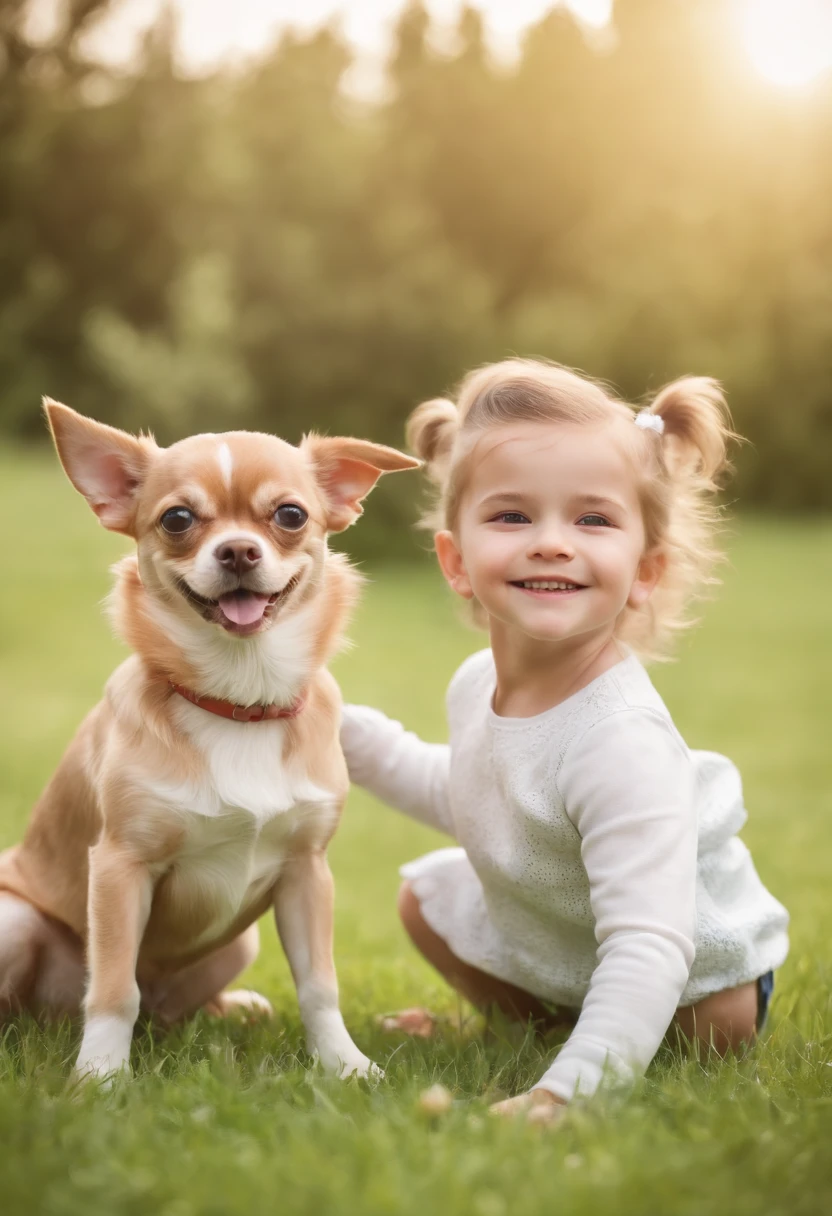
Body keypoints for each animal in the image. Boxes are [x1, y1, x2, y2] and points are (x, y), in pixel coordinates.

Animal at [0, 406, 416, 1084]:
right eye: (177, 520)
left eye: (290, 515)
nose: (239, 550)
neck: (239, 701)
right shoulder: (119, 868)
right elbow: (113, 989)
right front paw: (101, 1077)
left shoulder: (307, 873)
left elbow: (319, 986)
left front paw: (345, 1066)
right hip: (12, 921)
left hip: (239, 942)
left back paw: (232, 1009)